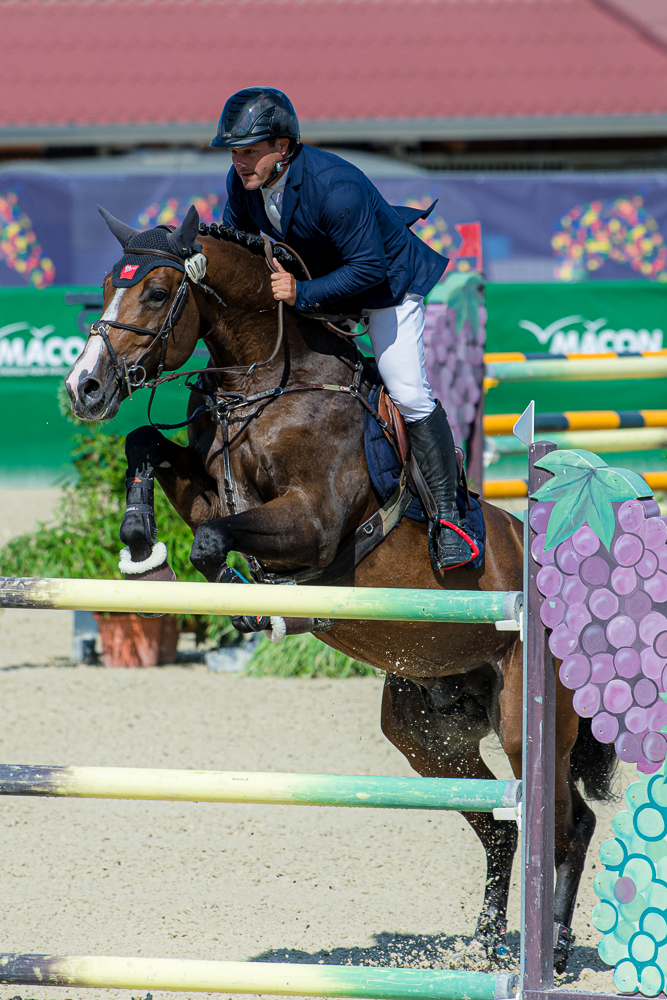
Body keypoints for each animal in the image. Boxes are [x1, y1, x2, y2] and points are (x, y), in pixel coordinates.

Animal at [66, 207, 616, 972]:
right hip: (426, 735)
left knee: (567, 824)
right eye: (103, 288)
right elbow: (147, 447)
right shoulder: (208, 483)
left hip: (521, 725)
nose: (83, 389)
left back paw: (555, 949)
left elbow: (213, 540)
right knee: (503, 828)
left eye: (153, 292)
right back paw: (482, 948)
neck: (267, 386)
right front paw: (141, 542)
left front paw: (237, 596)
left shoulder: (314, 524)